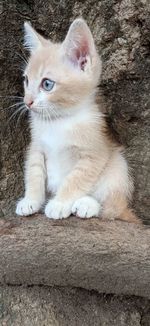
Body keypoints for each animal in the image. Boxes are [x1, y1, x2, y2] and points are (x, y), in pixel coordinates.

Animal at [15, 17, 140, 222]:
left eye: (47, 84)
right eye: (26, 80)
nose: (27, 102)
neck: (58, 120)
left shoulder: (94, 153)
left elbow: (75, 179)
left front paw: (59, 203)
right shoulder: (36, 146)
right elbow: (34, 172)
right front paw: (30, 200)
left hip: (118, 165)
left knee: (112, 208)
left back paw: (87, 204)